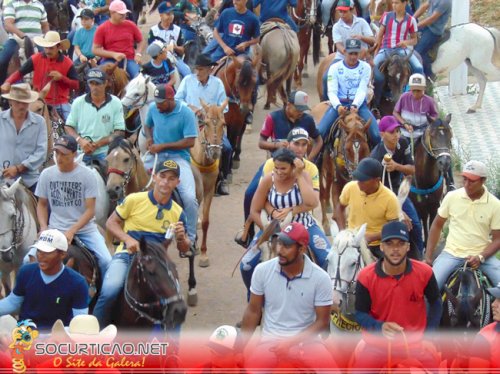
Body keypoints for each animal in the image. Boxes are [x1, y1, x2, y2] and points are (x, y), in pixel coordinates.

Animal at [312, 103, 372, 235]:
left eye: (365, 148)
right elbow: (339, 214)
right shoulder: (338, 184)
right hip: (320, 168)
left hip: (329, 170)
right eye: (347, 149)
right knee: (322, 193)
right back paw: (326, 224)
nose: (356, 175)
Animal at [410, 114, 454, 244]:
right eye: (432, 135)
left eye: (450, 136)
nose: (444, 162)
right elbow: (422, 221)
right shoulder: (417, 206)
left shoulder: (434, 205)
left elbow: (431, 224)